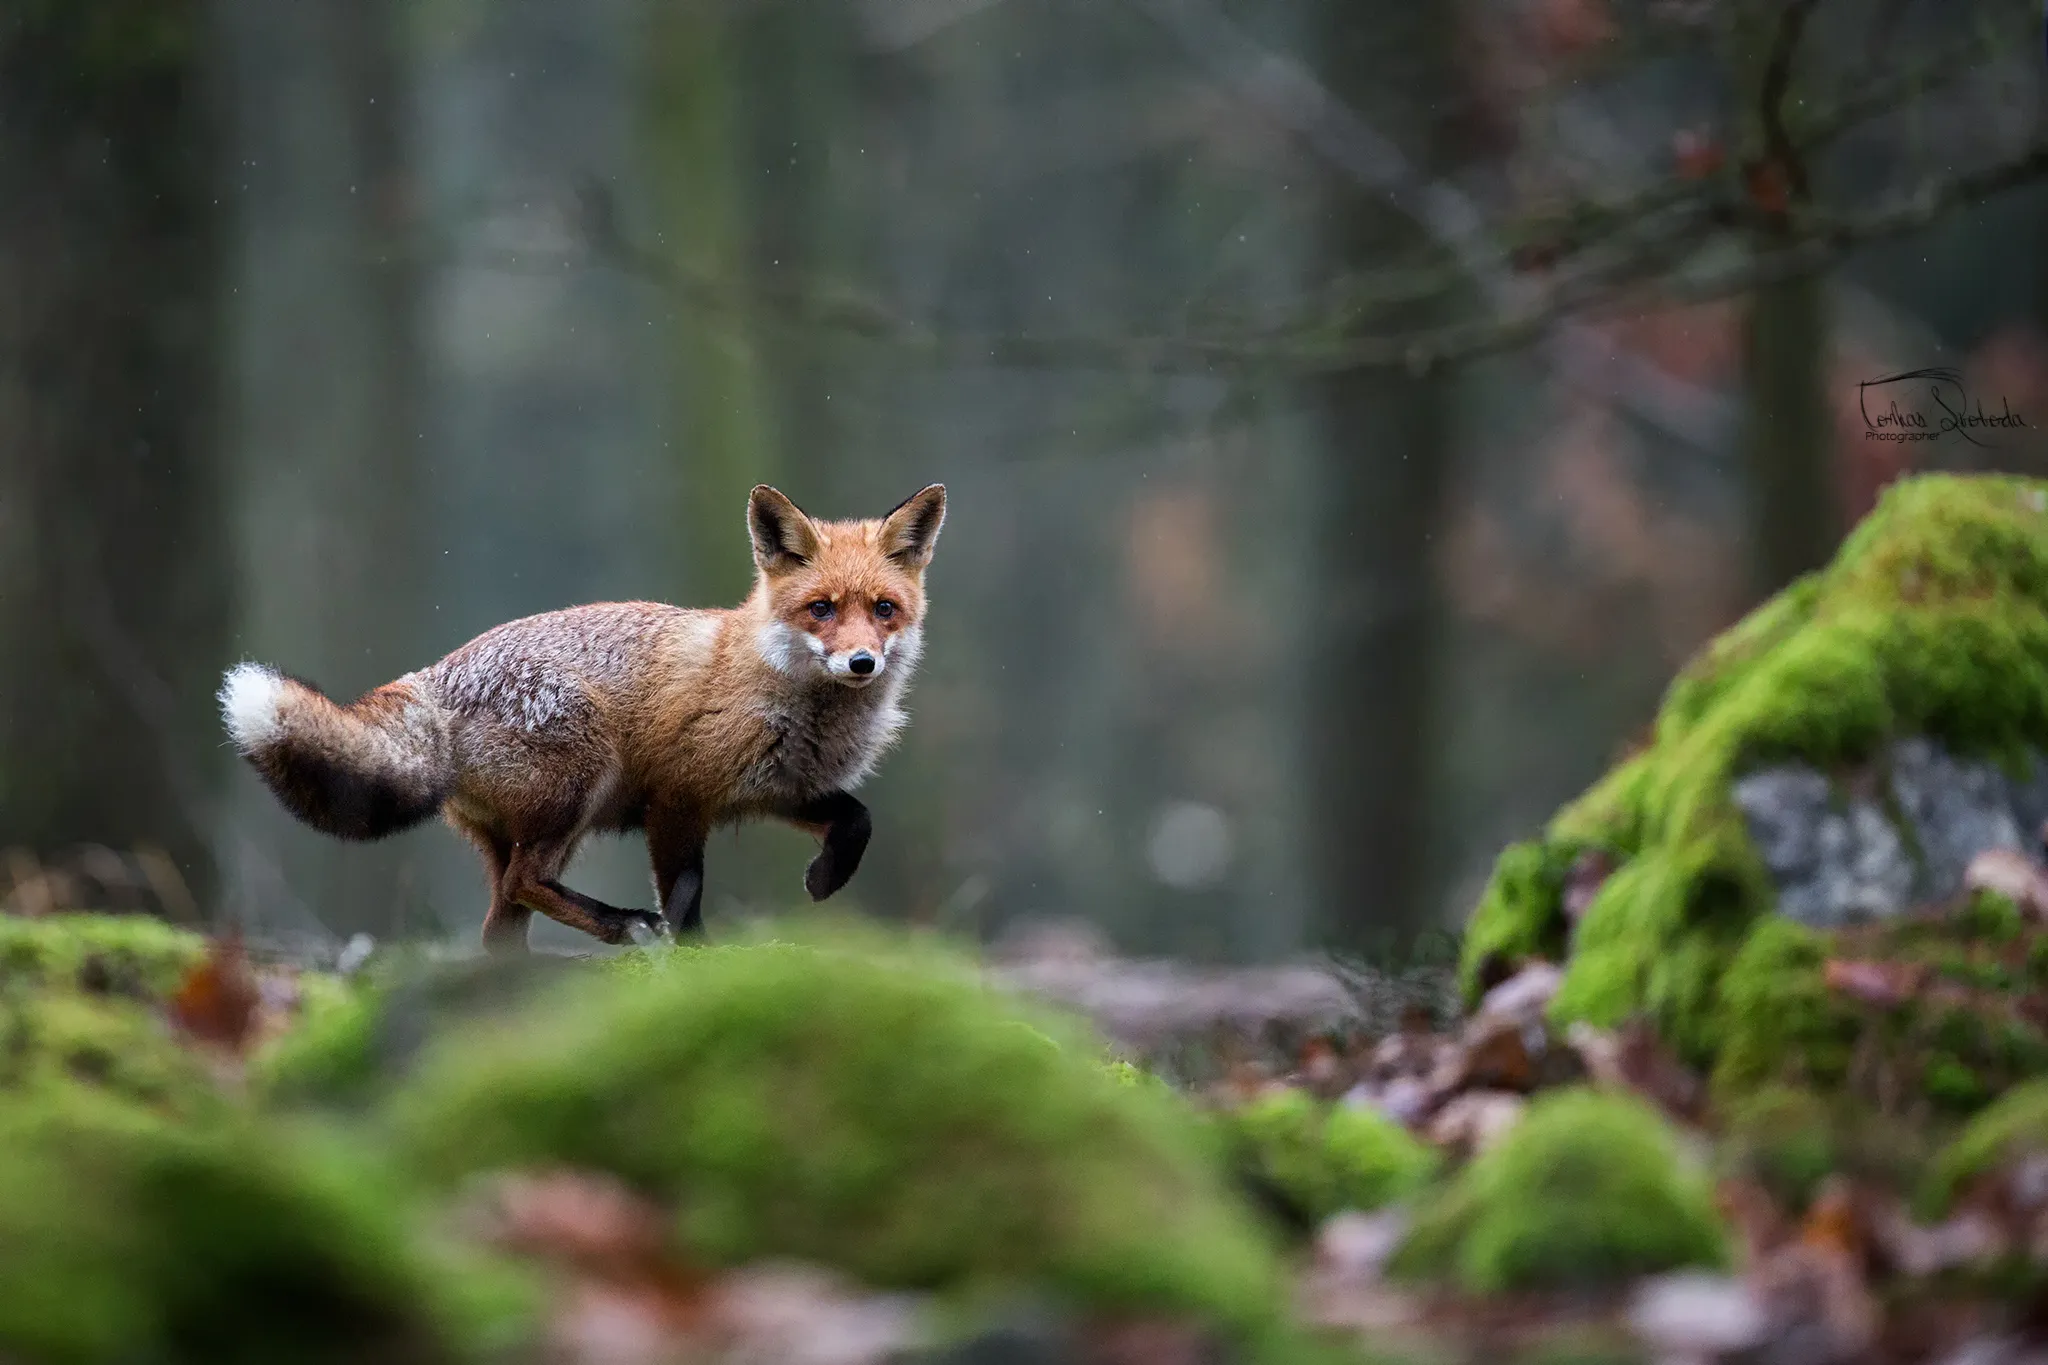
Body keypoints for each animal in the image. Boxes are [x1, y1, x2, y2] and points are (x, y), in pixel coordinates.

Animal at [217, 482, 946, 954]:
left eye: (883, 609)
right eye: (822, 609)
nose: (861, 662)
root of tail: (434, 676)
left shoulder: (774, 790)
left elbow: (857, 819)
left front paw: (825, 880)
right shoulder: (677, 797)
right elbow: (685, 898)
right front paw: (700, 961)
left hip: (541, 828)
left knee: (500, 926)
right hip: (576, 791)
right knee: (526, 885)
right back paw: (622, 924)